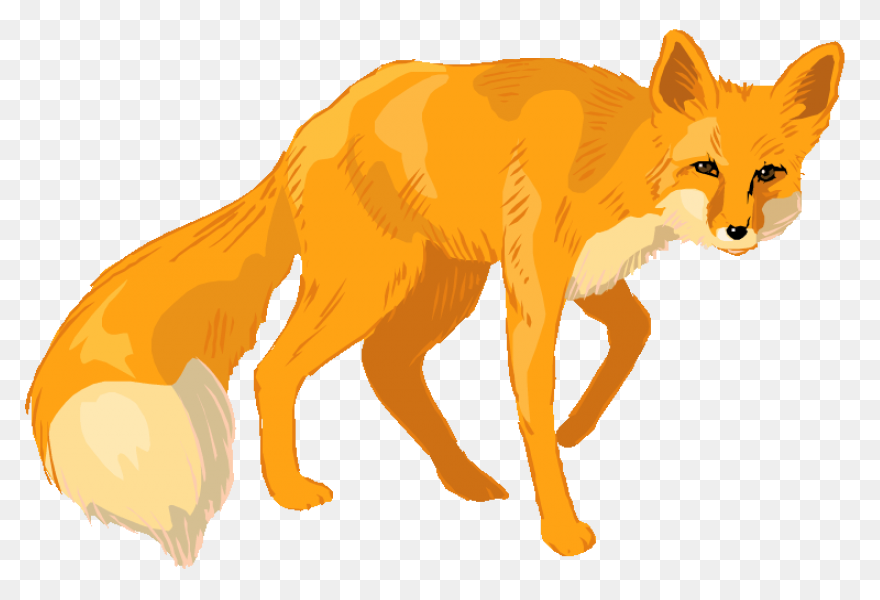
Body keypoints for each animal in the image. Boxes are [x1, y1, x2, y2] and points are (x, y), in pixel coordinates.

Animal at [25, 30, 843, 565]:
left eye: (768, 172)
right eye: (705, 166)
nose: (737, 230)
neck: (613, 161)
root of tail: (307, 130)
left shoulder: (588, 278)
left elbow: (634, 333)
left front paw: (578, 428)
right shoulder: (534, 287)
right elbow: (533, 414)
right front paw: (562, 530)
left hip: (442, 287)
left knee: (385, 366)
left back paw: (465, 480)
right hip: (368, 287)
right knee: (274, 369)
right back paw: (289, 491)